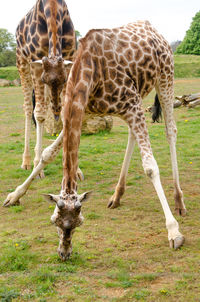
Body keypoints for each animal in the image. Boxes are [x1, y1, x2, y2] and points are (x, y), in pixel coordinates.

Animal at [4, 20, 186, 260]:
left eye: (79, 222)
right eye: (55, 221)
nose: (64, 253)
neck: (91, 73)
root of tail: (153, 29)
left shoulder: (131, 104)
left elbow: (150, 167)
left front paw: (174, 232)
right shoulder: (86, 110)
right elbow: (48, 154)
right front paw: (14, 195)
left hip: (165, 78)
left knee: (170, 130)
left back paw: (179, 201)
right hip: (139, 95)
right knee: (133, 135)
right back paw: (117, 195)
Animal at [15, 0, 76, 178]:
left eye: (64, 80)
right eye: (44, 79)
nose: (55, 110)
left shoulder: (70, 60)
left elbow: (67, 111)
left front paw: (75, 170)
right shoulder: (36, 65)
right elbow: (40, 114)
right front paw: (38, 167)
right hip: (22, 63)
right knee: (29, 108)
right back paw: (27, 162)